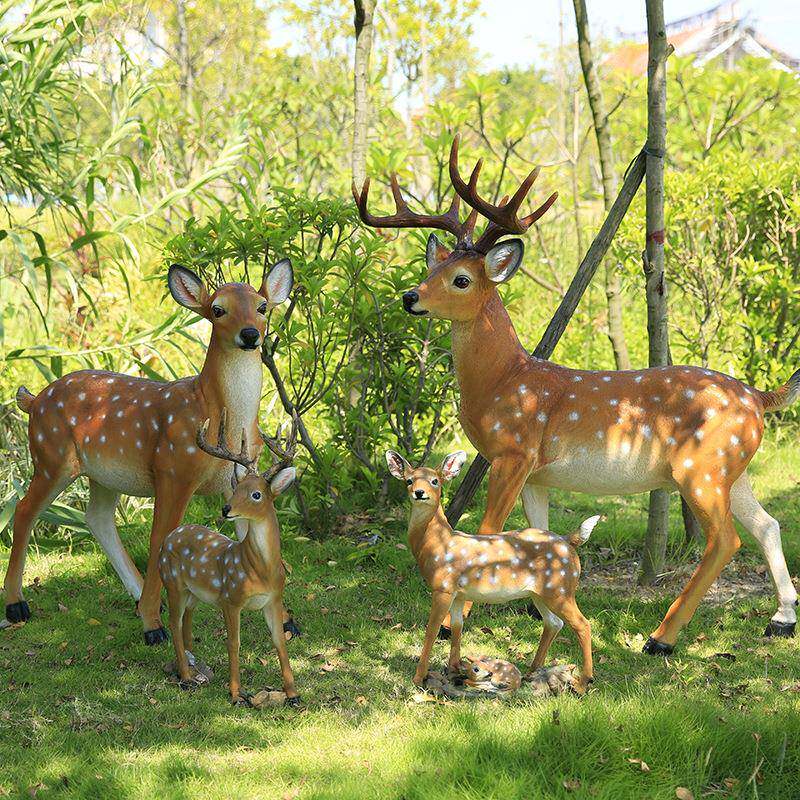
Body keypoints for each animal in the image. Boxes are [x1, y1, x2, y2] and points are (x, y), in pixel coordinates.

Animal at [5, 260, 301, 646]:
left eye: (262, 306)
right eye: (217, 309)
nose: (250, 334)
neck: (213, 410)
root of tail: (34, 399)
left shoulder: (238, 478)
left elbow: (246, 531)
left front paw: (287, 622)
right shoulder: (173, 469)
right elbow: (160, 537)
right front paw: (151, 626)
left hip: (103, 475)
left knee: (97, 518)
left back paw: (138, 598)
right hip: (51, 455)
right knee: (24, 509)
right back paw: (16, 605)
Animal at [160, 410, 300, 706]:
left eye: (256, 494)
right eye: (235, 489)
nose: (226, 509)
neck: (260, 570)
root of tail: (170, 536)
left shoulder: (274, 599)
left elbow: (279, 641)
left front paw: (293, 694)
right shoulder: (230, 599)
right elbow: (233, 643)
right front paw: (236, 694)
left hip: (195, 593)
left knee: (187, 621)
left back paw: (194, 666)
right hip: (172, 582)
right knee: (174, 624)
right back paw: (186, 678)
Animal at [355, 134, 800, 655]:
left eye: (461, 279)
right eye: (434, 266)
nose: (410, 297)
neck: (504, 380)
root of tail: (759, 398)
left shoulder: (513, 451)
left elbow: (488, 532)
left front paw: (451, 622)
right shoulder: (538, 474)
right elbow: (536, 532)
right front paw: (535, 604)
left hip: (700, 467)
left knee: (726, 539)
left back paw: (661, 638)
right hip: (733, 466)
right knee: (767, 524)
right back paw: (781, 619)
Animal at [387, 449, 599, 693]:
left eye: (435, 480)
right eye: (409, 480)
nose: (419, 493)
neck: (439, 542)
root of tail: (569, 541)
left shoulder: (443, 587)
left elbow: (431, 630)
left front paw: (418, 678)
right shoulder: (460, 593)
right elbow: (457, 627)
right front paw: (454, 668)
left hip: (560, 588)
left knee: (583, 624)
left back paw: (583, 682)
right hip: (541, 592)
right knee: (554, 623)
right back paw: (532, 671)